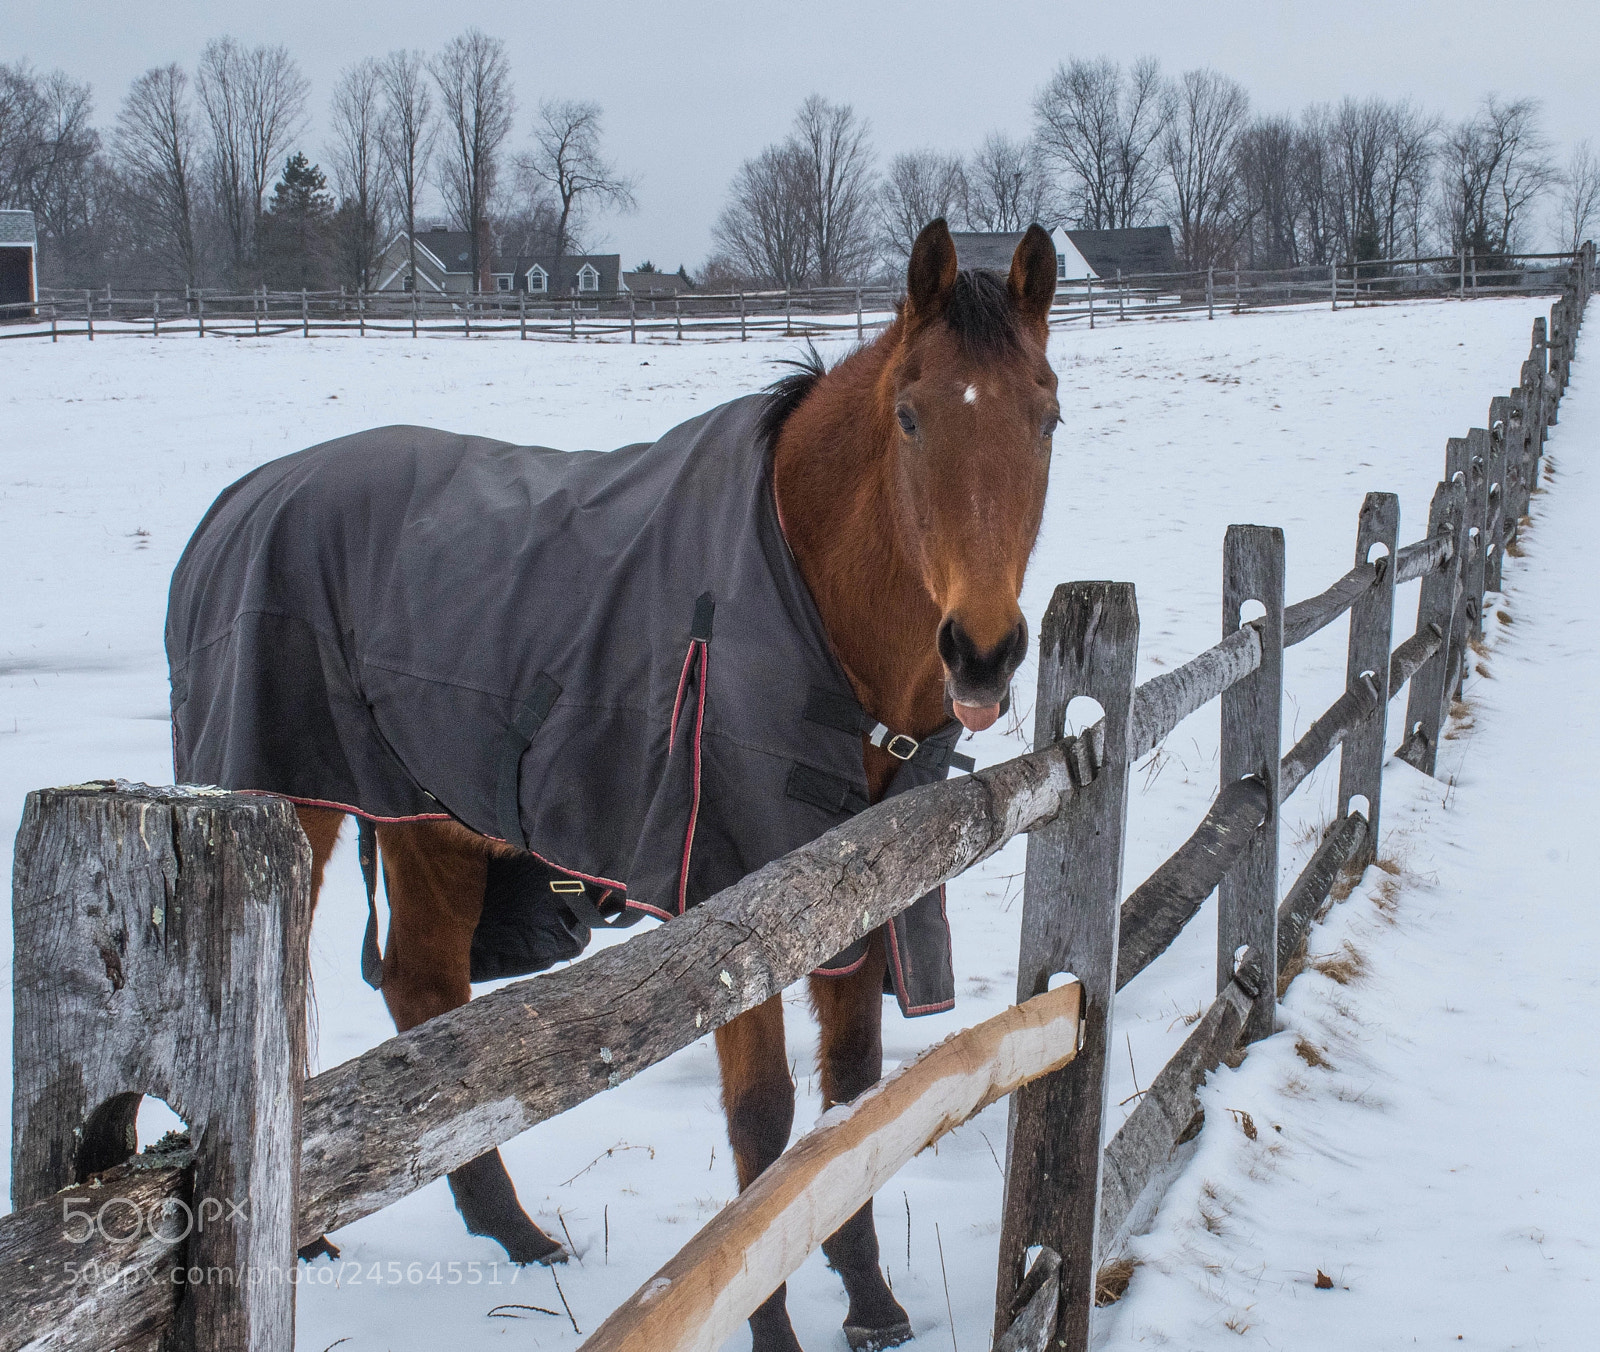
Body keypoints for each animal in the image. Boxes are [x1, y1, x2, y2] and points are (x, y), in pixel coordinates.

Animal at [181, 218, 1059, 1352]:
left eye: (1047, 415)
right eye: (910, 415)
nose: (983, 654)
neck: (797, 582)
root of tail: (241, 500)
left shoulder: (863, 891)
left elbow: (852, 1095)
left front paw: (870, 1301)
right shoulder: (739, 905)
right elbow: (764, 1116)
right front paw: (769, 1324)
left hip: (431, 820)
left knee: (426, 991)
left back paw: (511, 1231)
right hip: (299, 805)